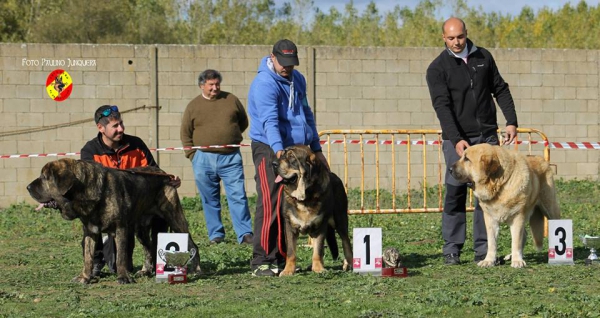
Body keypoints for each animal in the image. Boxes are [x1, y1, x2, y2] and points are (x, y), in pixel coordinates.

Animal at [27, 158, 202, 284]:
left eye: (44, 177)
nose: (28, 187)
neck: (85, 191)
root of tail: (164, 173)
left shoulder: (120, 229)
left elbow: (121, 257)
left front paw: (123, 277)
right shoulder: (90, 232)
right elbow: (88, 257)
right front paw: (85, 277)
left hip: (175, 218)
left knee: (193, 245)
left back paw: (197, 270)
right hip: (141, 229)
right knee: (149, 249)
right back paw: (146, 270)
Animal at [272, 145, 352, 274]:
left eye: (291, 157)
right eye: (282, 155)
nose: (273, 163)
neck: (304, 198)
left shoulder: (320, 225)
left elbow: (318, 250)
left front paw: (319, 269)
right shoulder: (289, 226)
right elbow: (291, 252)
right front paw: (288, 270)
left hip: (340, 220)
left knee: (346, 243)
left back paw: (349, 264)